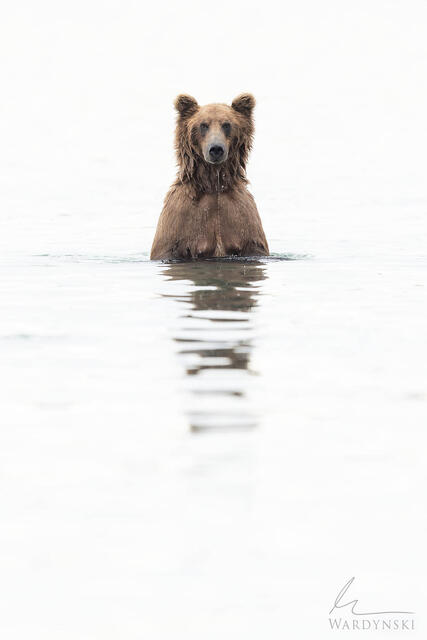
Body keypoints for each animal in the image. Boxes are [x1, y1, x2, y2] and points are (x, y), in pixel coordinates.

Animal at [150, 93, 269, 260]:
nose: (216, 149)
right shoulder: (180, 220)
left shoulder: (241, 219)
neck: (214, 184)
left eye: (227, 124)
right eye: (203, 125)